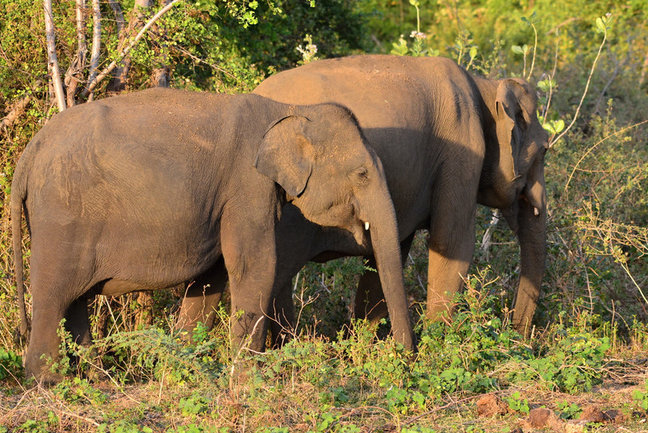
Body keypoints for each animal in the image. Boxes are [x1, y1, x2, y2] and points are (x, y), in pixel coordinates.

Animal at [12, 87, 416, 382]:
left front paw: (183, 365)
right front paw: (249, 378)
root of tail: (28, 153)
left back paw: (96, 379)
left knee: (75, 300)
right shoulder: (246, 186)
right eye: (362, 173)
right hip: (61, 215)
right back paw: (49, 383)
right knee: (54, 295)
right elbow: (253, 265)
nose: (406, 361)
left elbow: (213, 276)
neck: (291, 108)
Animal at [177, 53, 548, 338]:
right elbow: (451, 244)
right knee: (276, 274)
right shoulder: (461, 154)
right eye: (546, 149)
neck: (483, 85)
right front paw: (439, 348)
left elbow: (388, 255)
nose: (519, 335)